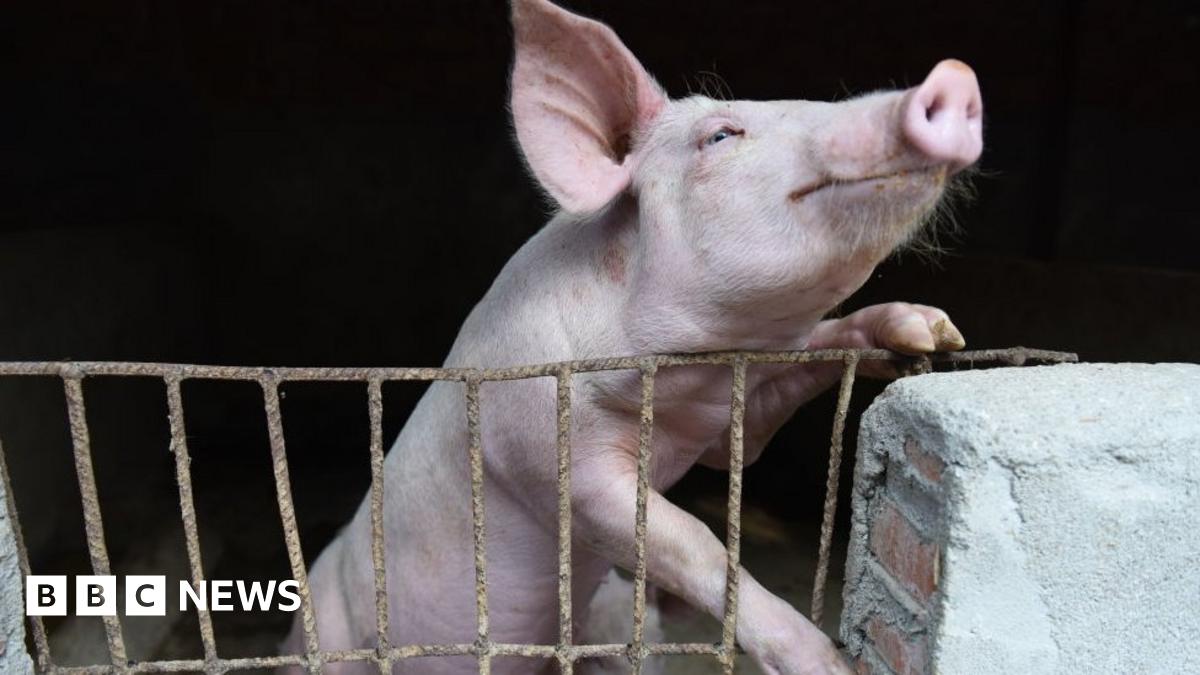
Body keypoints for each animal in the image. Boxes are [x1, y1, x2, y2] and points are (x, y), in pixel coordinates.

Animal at [283, 0, 981, 673]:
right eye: (719, 135)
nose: (954, 76)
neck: (680, 383)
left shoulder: (734, 415)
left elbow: (784, 392)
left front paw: (930, 331)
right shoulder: (548, 451)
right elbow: (691, 539)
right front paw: (827, 664)